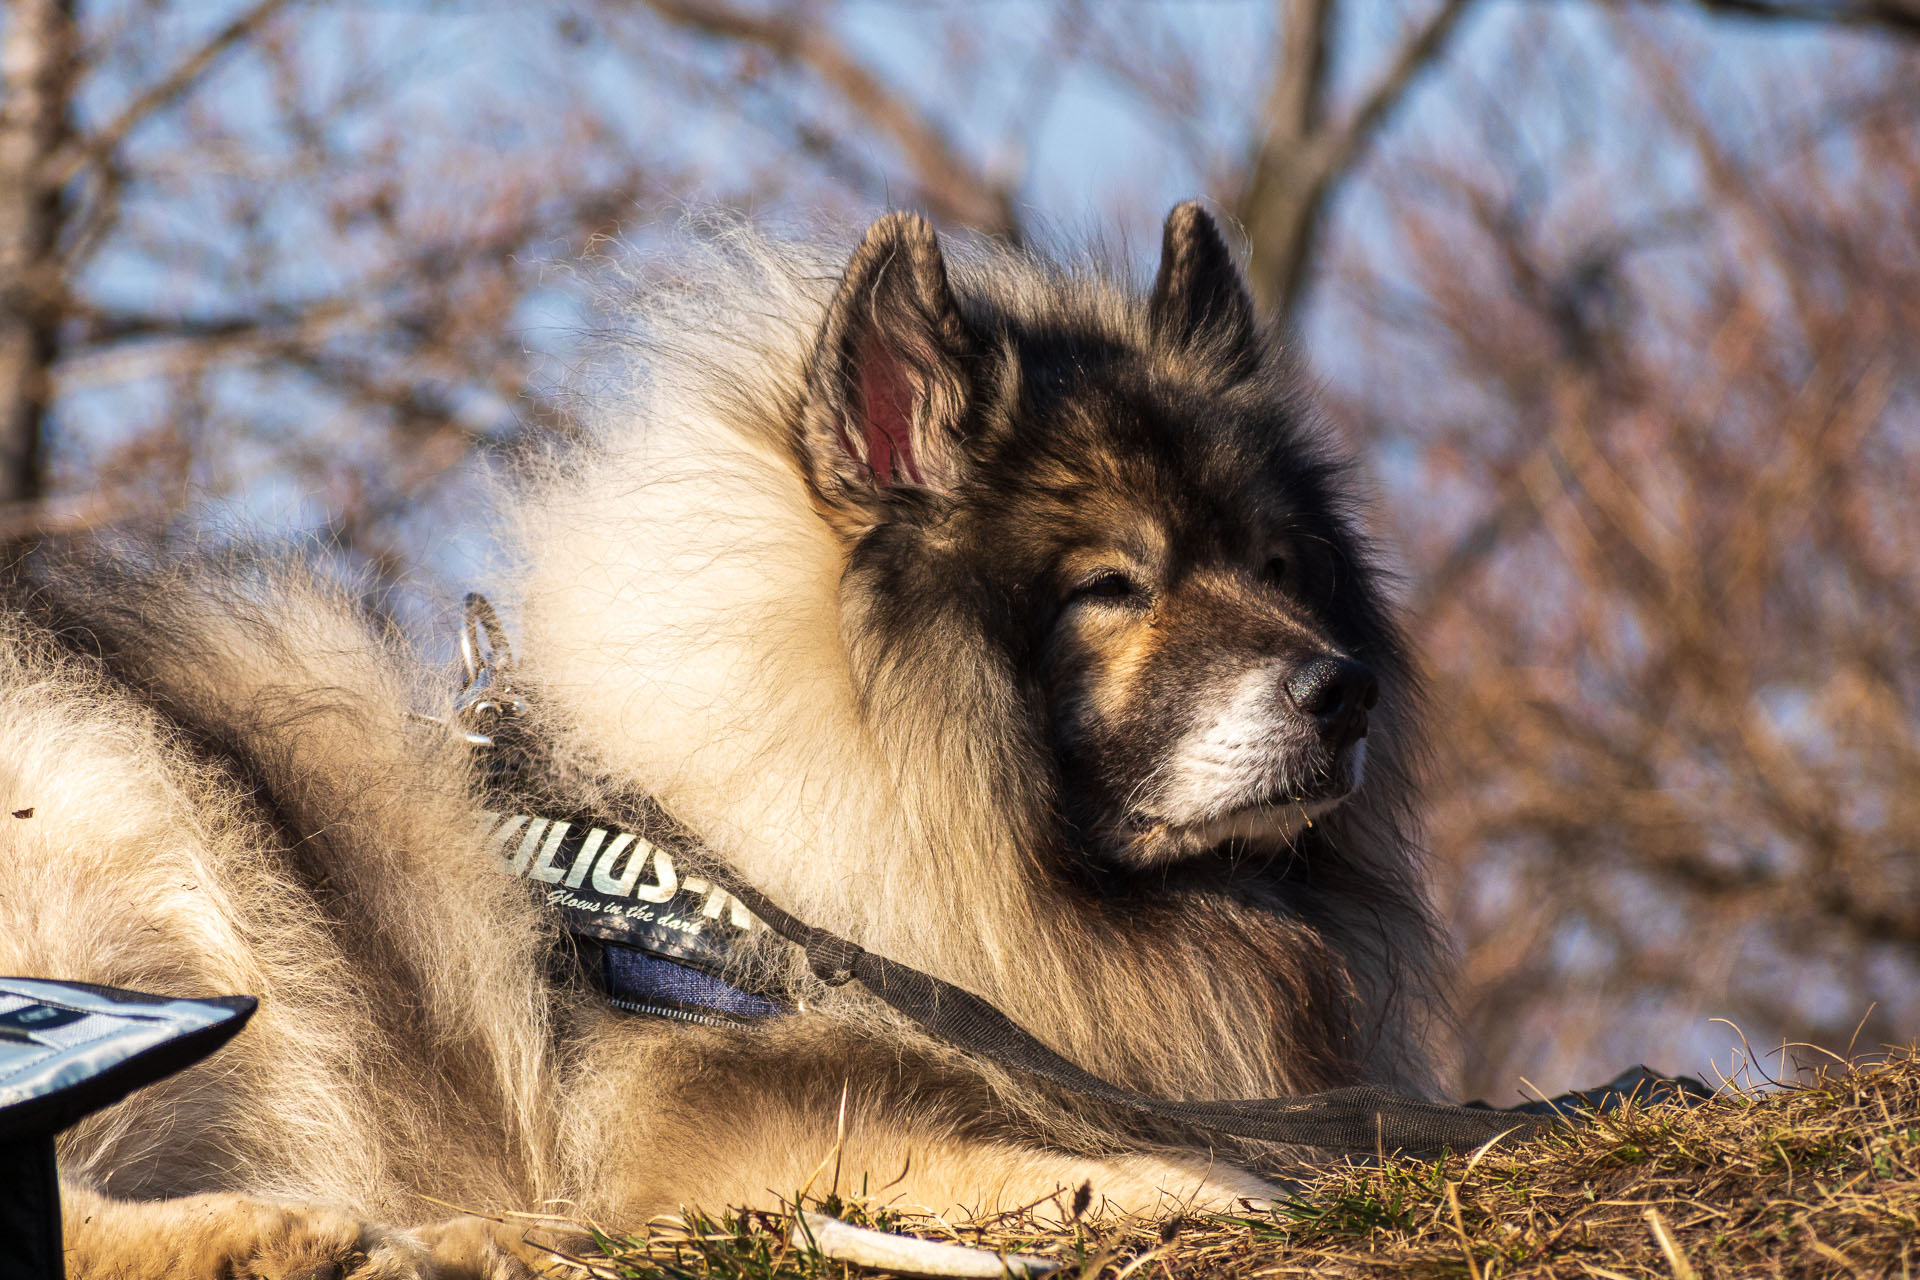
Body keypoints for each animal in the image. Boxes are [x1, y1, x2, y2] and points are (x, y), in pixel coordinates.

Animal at [3, 205, 1443, 1274]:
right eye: (1112, 586)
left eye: (1275, 566)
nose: (1346, 688)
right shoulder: (706, 1125)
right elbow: (1114, 1167)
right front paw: (1206, 1189)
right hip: (134, 813)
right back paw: (308, 1236)